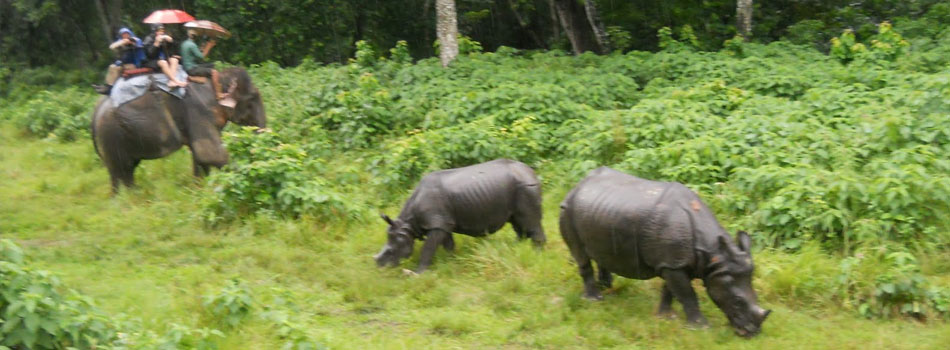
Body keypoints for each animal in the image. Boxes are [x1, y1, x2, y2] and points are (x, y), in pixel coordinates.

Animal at [91, 67, 266, 193]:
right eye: (252, 98)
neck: (217, 81)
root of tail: (96, 110)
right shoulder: (198, 111)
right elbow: (208, 153)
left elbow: (200, 156)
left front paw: (199, 189)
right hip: (111, 136)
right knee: (120, 170)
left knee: (127, 170)